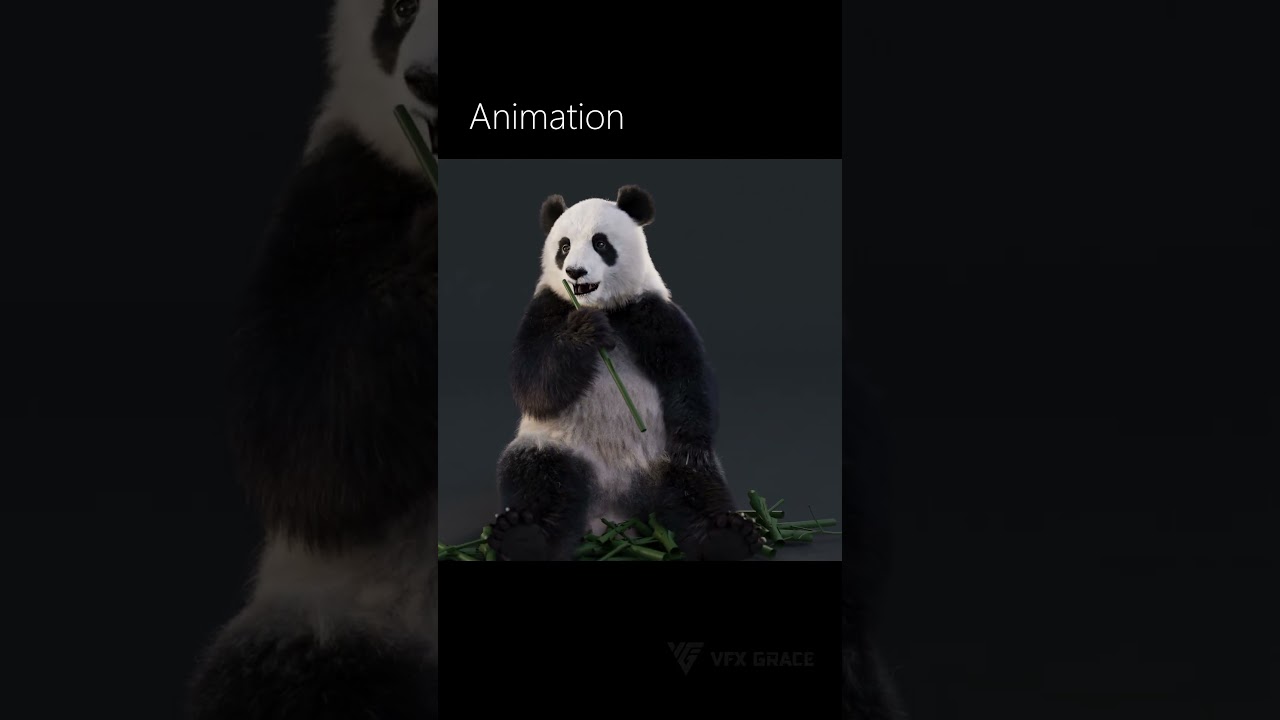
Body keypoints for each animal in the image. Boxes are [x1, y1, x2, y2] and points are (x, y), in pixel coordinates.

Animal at [485, 185, 765, 563]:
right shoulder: (547, 306)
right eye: (564, 246)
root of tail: (614, 516)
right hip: (557, 447)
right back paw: (523, 535)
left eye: (601, 243)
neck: (602, 307)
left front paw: (693, 441)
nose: (575, 272)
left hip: (661, 456)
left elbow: (687, 371)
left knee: (696, 487)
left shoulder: (648, 310)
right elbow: (533, 384)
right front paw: (585, 331)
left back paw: (726, 535)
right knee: (537, 477)